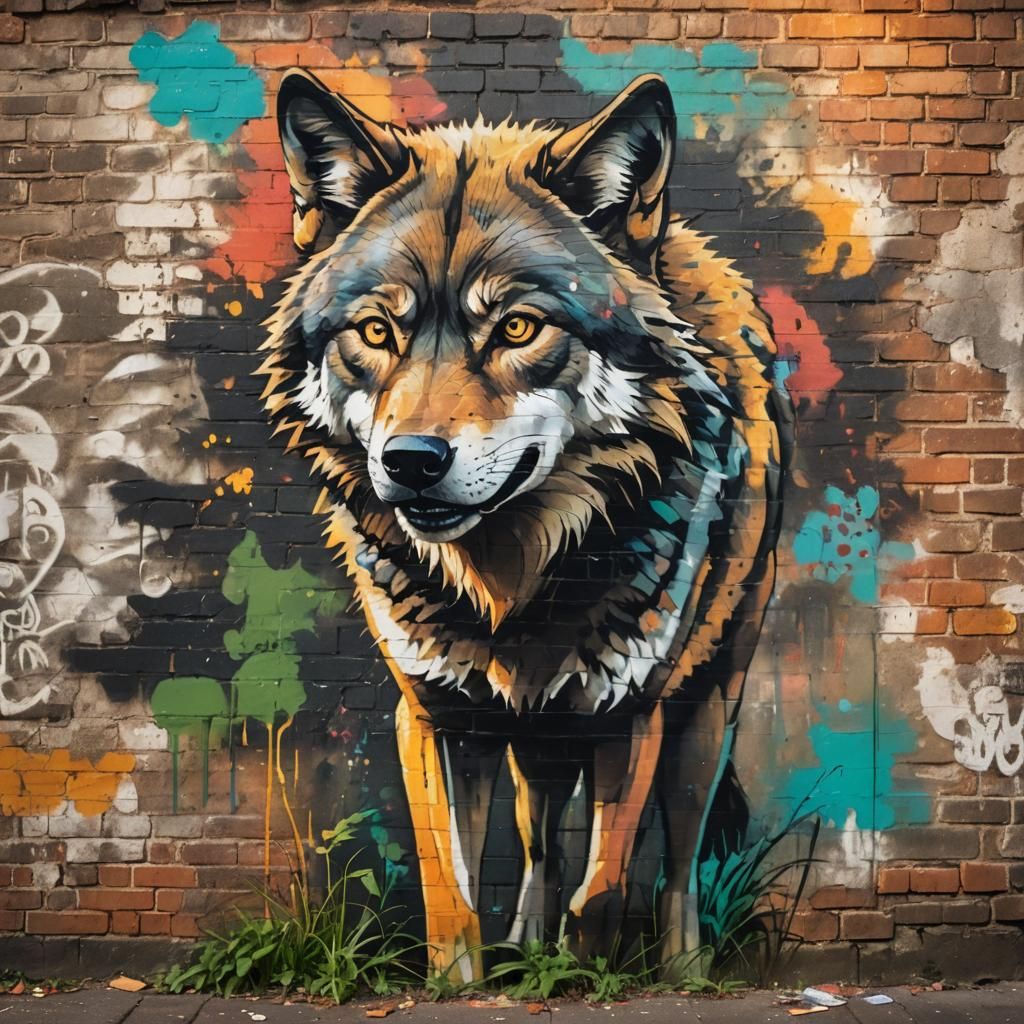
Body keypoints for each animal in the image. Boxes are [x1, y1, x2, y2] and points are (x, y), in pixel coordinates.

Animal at [261, 68, 789, 978]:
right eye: (377, 331)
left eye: (516, 327)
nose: (411, 460)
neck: (511, 584)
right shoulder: (437, 718)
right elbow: (454, 896)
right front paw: (468, 982)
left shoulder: (630, 716)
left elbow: (603, 890)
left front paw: (587, 975)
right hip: (530, 737)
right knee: (540, 840)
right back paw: (524, 951)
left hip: (704, 708)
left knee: (678, 865)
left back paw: (681, 970)